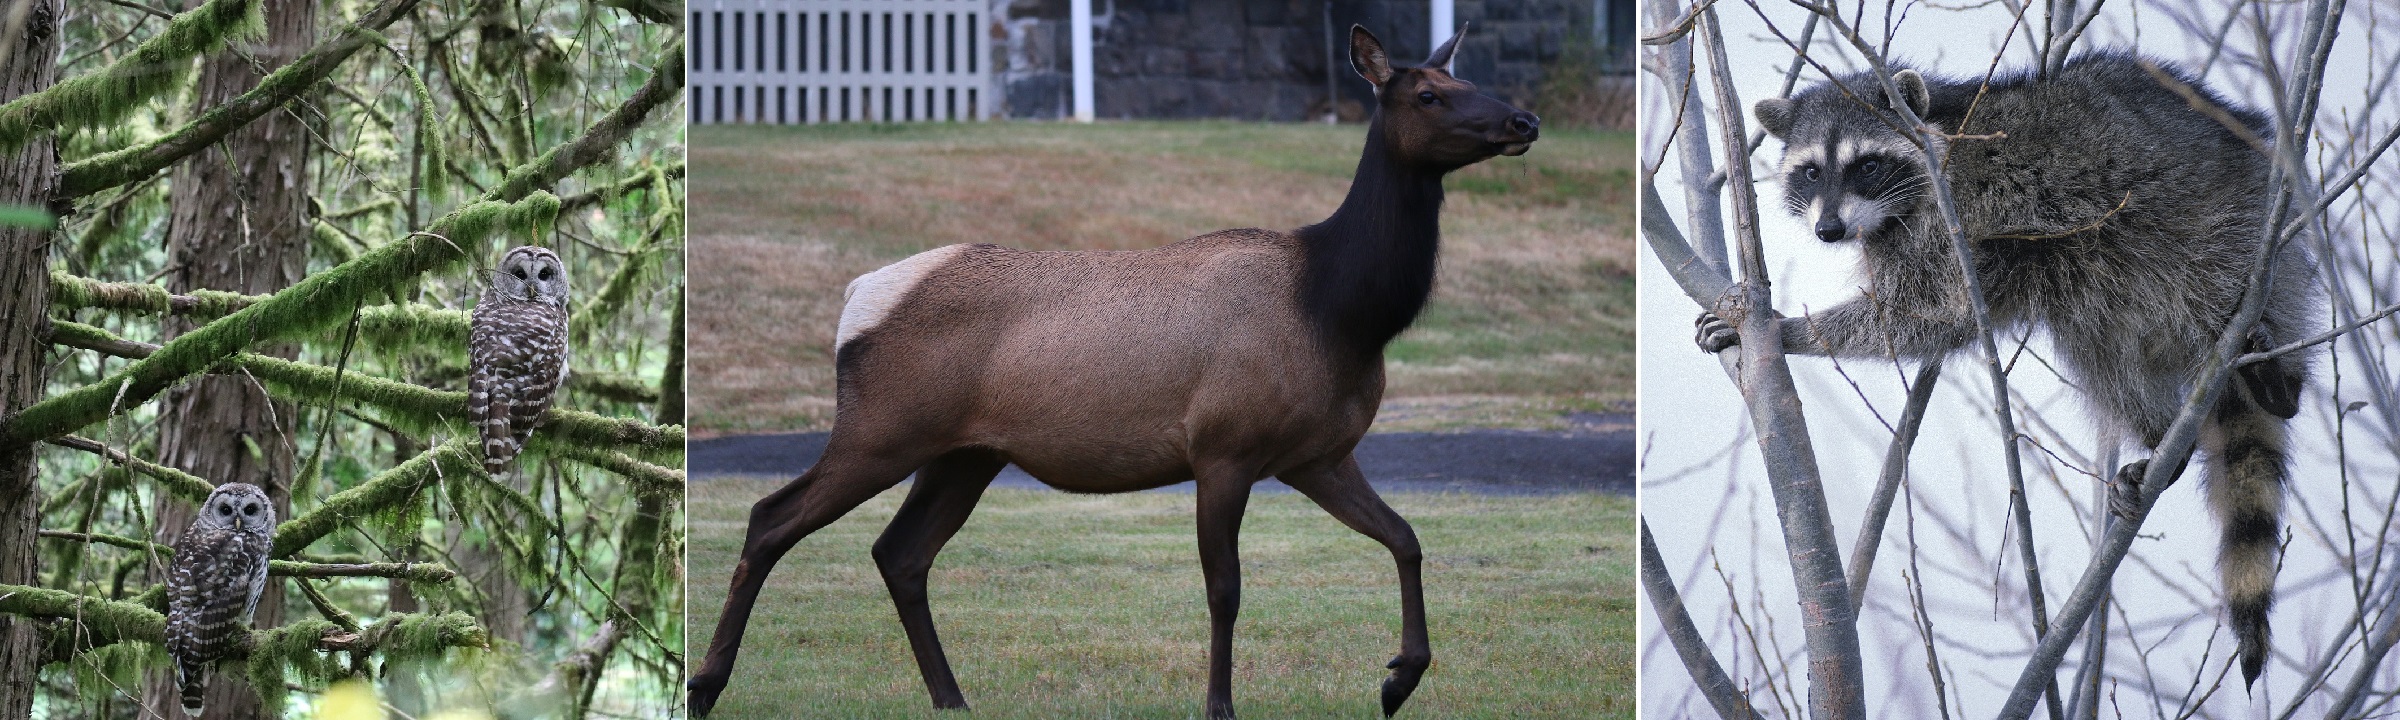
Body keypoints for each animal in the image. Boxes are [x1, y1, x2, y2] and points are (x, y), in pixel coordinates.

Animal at [686, 23, 1545, 720]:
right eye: (1430, 93)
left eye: (1470, 79)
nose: (1524, 120)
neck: (1343, 314)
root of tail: (855, 302)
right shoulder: (1223, 446)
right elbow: (1226, 587)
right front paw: (1222, 705)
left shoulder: (1318, 454)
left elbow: (1407, 538)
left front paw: (1399, 677)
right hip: (883, 428)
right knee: (772, 518)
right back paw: (706, 685)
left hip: (965, 453)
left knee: (899, 553)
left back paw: (952, 697)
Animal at [1699, 51, 2313, 686]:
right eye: (1811, 172)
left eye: (1866, 165)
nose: (1829, 230)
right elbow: (1937, 319)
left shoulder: (1955, 217)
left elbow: (1923, 310)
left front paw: (1790, 330)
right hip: (2100, 280)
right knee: (2097, 346)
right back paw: (2163, 437)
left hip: (2227, 226)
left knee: (2211, 284)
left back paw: (2279, 379)